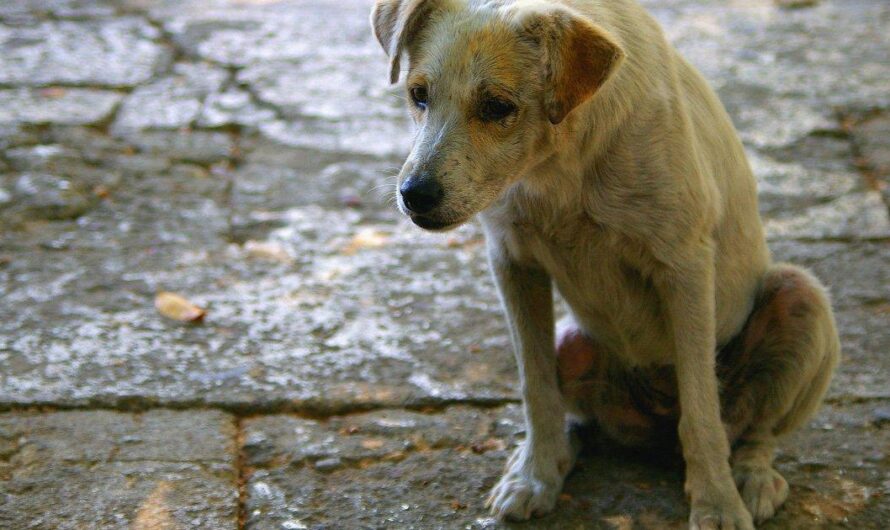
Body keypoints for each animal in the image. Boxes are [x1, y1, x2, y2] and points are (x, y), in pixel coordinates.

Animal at [364, 2, 836, 524]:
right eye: (418, 95)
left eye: (497, 107)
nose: (414, 196)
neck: (560, 164)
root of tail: (653, 427)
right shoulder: (513, 261)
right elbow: (536, 387)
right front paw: (535, 475)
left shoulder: (685, 267)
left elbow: (701, 410)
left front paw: (716, 501)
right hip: (573, 342)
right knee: (578, 412)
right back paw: (560, 453)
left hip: (801, 297)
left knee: (755, 431)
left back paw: (751, 478)